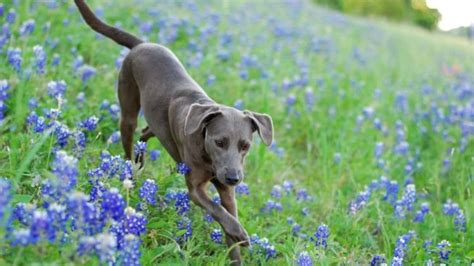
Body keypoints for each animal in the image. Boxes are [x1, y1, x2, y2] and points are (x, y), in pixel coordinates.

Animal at [74, 0, 274, 264]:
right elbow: (217, 211)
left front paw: (236, 244)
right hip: (127, 109)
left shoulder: (227, 191)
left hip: (156, 123)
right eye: (219, 142)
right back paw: (132, 172)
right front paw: (241, 233)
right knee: (130, 143)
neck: (208, 157)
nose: (234, 178)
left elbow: (228, 221)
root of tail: (142, 44)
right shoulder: (195, 188)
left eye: (245, 146)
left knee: (146, 132)